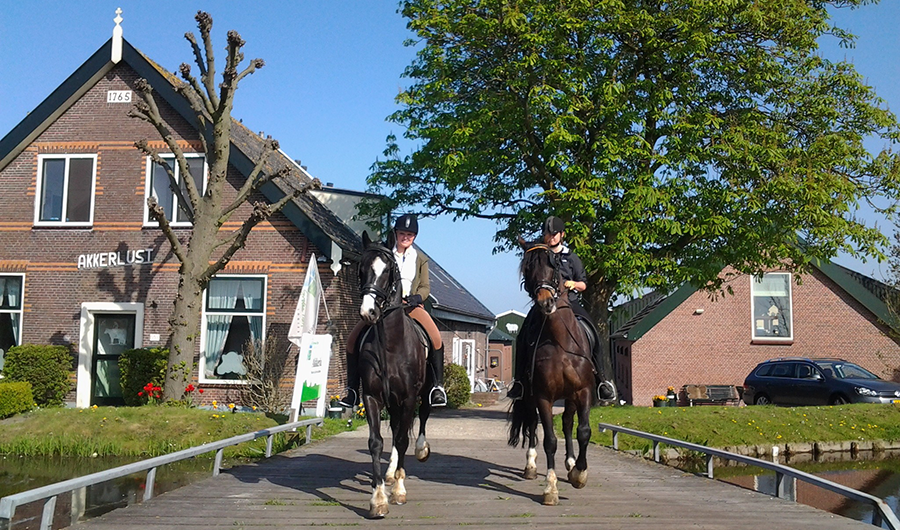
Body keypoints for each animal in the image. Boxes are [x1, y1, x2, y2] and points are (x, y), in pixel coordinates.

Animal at [356, 230, 433, 518]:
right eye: (361, 269)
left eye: (388, 270)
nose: (368, 312)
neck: (390, 344)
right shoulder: (372, 397)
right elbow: (376, 442)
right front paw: (378, 498)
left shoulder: (410, 397)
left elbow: (401, 440)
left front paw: (399, 491)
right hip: (393, 402)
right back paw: (389, 473)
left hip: (423, 393)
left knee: (421, 418)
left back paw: (420, 450)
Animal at [508, 239, 594, 506]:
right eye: (527, 269)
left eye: (553, 265)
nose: (546, 303)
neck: (560, 341)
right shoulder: (543, 396)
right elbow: (549, 440)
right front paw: (550, 488)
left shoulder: (584, 391)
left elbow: (583, 431)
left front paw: (579, 474)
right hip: (530, 395)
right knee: (532, 423)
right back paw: (531, 466)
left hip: (571, 396)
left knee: (567, 422)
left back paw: (571, 462)